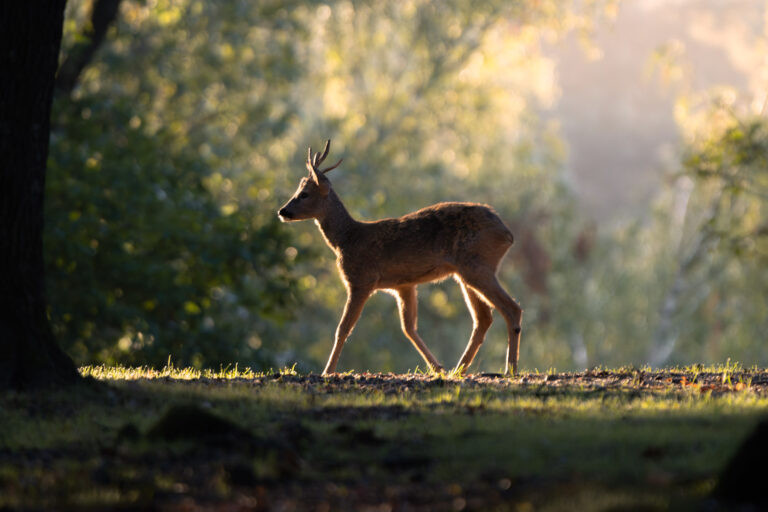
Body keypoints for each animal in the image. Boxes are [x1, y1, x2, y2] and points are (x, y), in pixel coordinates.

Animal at [277, 140, 523, 376]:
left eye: (304, 194)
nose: (282, 211)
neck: (346, 239)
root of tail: (507, 234)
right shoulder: (403, 285)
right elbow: (409, 328)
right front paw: (437, 368)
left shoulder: (361, 280)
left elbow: (343, 328)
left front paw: (327, 371)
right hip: (465, 273)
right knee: (483, 318)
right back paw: (458, 369)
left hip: (477, 265)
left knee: (511, 309)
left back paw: (509, 369)